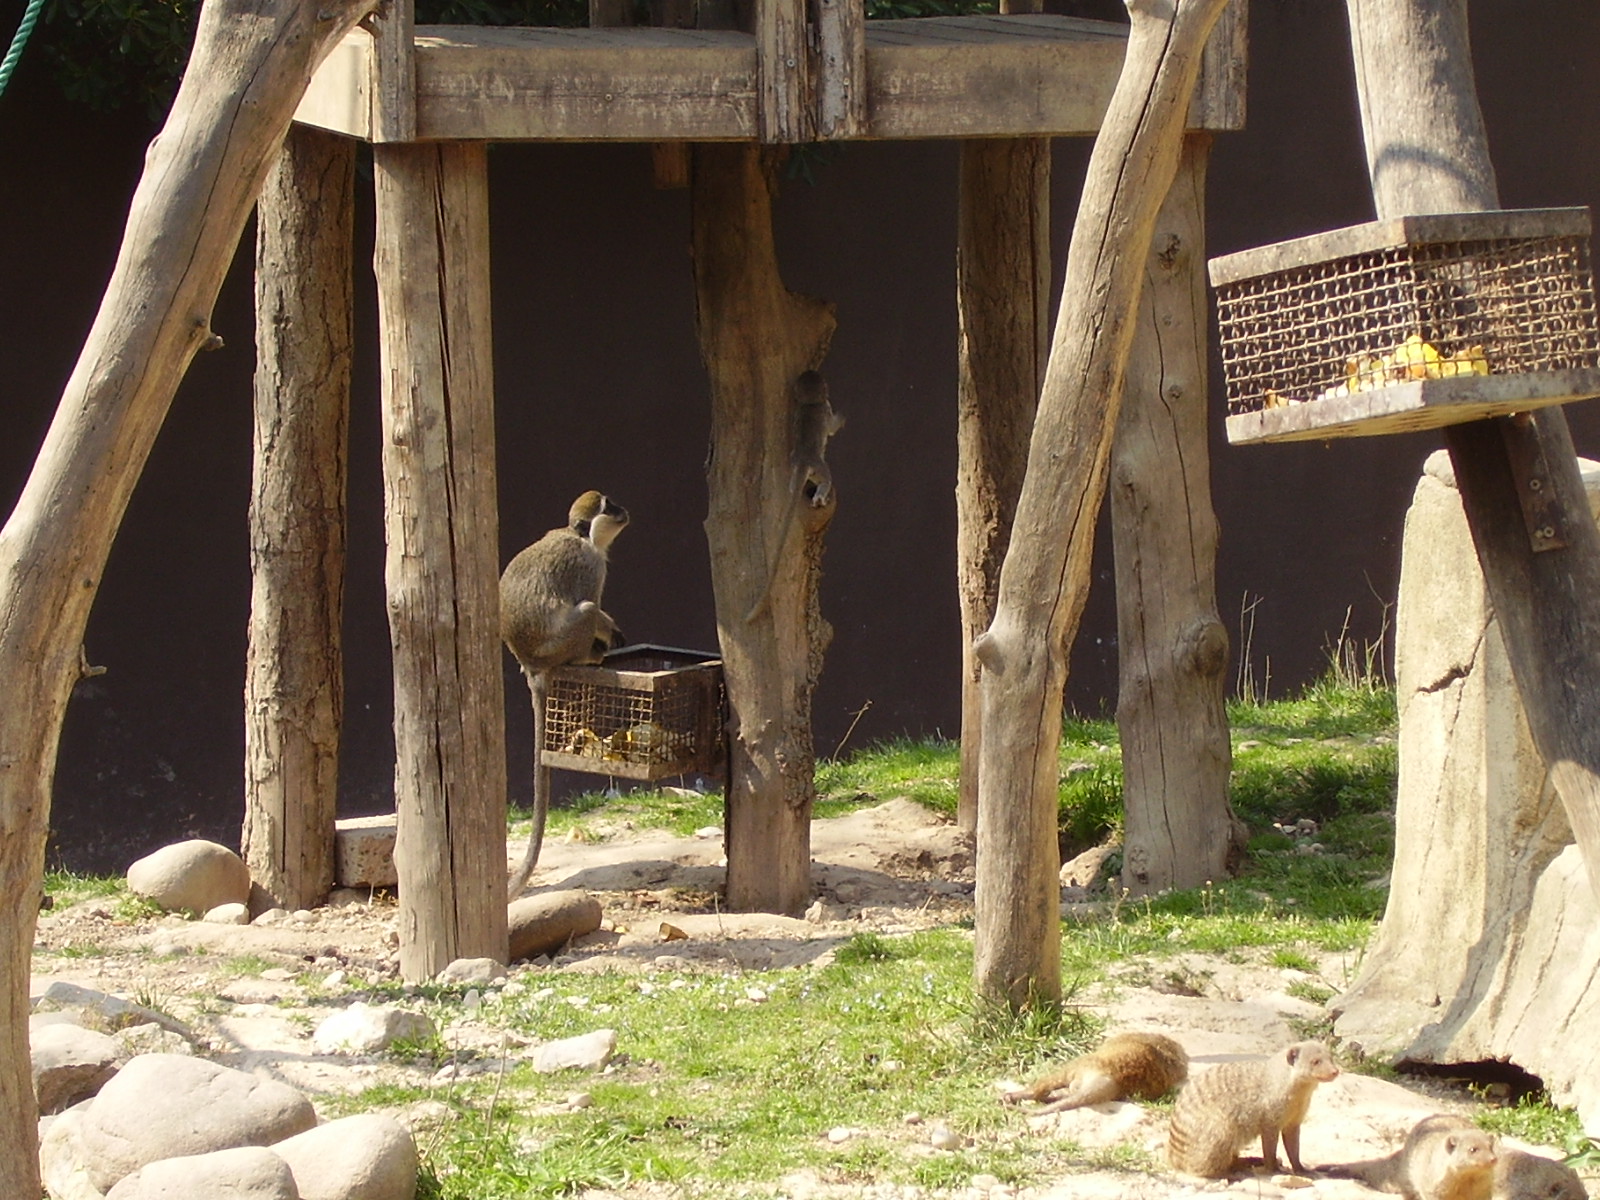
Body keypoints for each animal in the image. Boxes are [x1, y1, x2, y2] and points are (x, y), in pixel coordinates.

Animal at [500, 490, 629, 900]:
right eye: (608, 506)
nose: (623, 510)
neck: (580, 537)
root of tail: (531, 663)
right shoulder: (591, 565)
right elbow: (592, 604)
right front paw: (610, 628)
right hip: (559, 644)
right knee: (585, 610)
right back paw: (590, 654)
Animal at [743, 370, 844, 623]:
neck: (810, 402)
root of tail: (804, 459)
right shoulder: (825, 408)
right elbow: (831, 427)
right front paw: (842, 418)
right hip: (820, 469)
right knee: (825, 480)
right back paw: (820, 495)